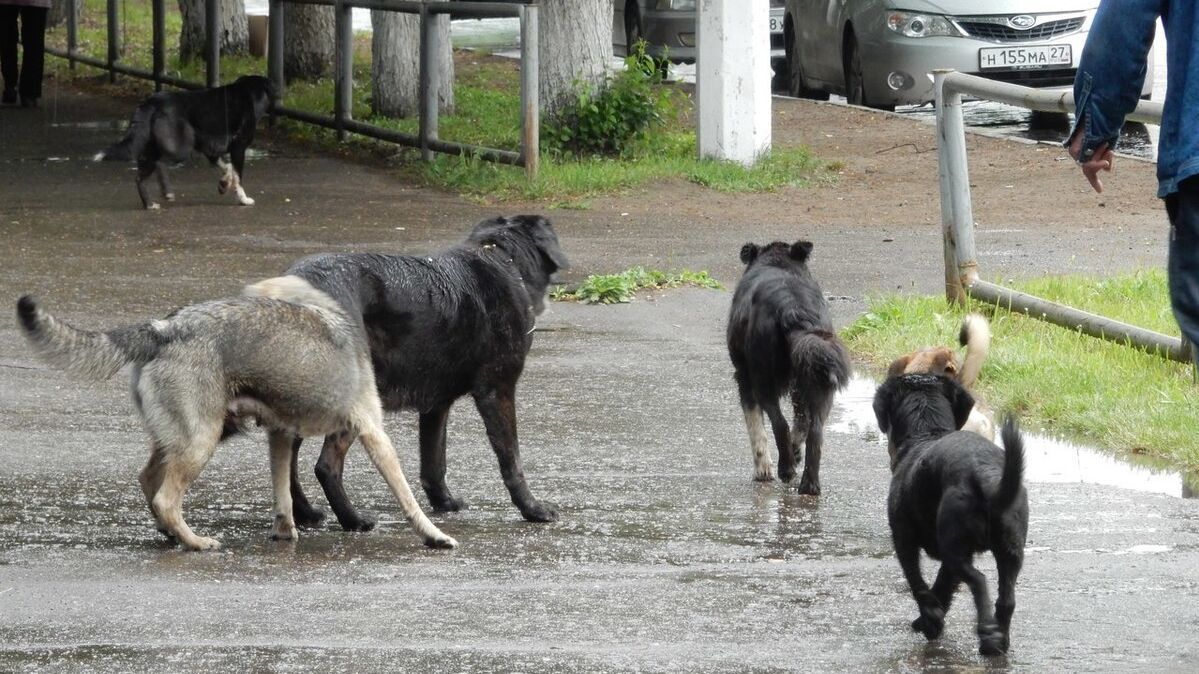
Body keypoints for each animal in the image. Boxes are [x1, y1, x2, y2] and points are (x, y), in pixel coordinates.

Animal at [16, 274, 455, 551]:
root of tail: (163, 328)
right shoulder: (374, 434)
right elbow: (408, 498)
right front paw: (433, 535)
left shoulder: (280, 436)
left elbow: (283, 495)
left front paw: (285, 532)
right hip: (202, 441)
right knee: (165, 498)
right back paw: (194, 542)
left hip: (185, 437)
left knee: (149, 482)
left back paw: (171, 534)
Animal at [93, 74, 275, 208]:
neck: (248, 94)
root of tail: (153, 101)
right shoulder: (238, 148)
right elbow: (238, 176)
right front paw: (243, 199)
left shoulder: (211, 150)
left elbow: (227, 167)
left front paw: (223, 184)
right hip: (181, 147)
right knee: (159, 162)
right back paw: (166, 191)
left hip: (156, 146)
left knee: (140, 175)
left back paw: (149, 204)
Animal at [284, 214, 565, 530]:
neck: (501, 255)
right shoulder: (498, 391)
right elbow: (511, 459)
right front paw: (532, 508)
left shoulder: (437, 404)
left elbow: (433, 460)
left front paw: (444, 502)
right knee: (326, 466)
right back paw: (353, 520)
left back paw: (305, 513)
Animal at [719, 238, 853, 491]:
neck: (777, 262)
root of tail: (793, 309)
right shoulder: (799, 384)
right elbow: (801, 422)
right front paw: (795, 451)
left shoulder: (744, 377)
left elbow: (756, 426)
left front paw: (763, 469)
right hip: (820, 381)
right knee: (815, 431)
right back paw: (809, 484)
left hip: (763, 379)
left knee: (779, 424)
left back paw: (786, 469)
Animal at [872, 369, 1031, 652]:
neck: (927, 431)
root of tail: (985, 475)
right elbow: (942, 585)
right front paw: (931, 618)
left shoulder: (903, 539)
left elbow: (917, 581)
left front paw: (931, 618)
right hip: (1010, 550)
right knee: (1006, 599)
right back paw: (998, 640)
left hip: (956, 547)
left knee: (979, 581)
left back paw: (987, 633)